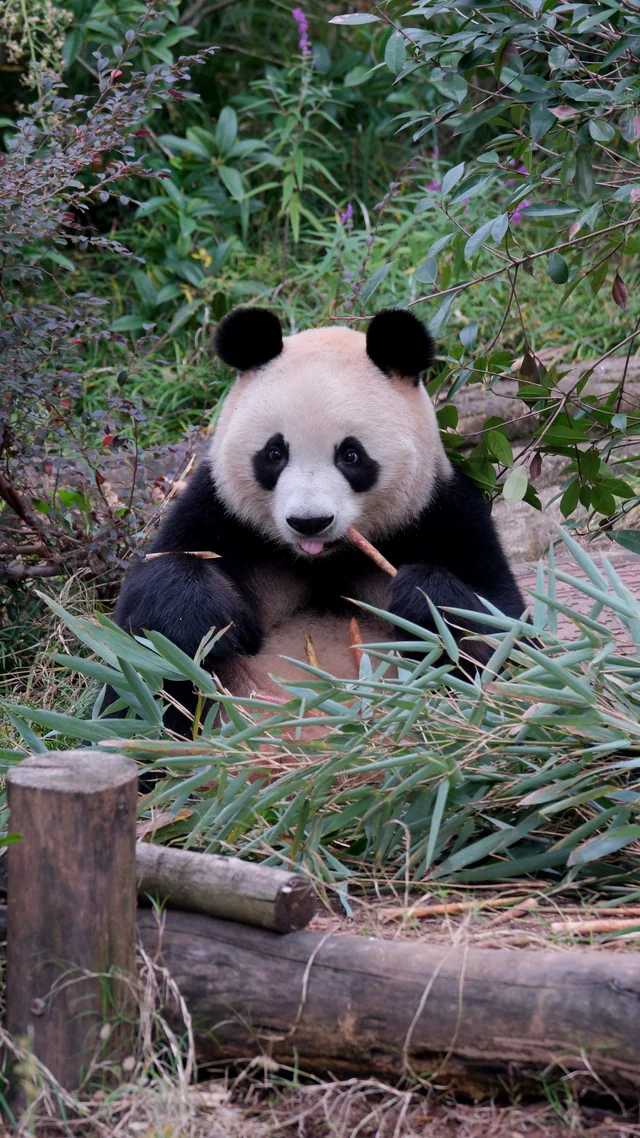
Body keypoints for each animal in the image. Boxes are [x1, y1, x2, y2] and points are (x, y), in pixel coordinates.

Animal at [114, 306, 524, 732]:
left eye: (351, 456)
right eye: (275, 453)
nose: (309, 521)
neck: (324, 560)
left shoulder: (444, 514)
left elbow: (502, 632)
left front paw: (420, 597)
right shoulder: (217, 514)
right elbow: (145, 612)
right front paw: (206, 617)